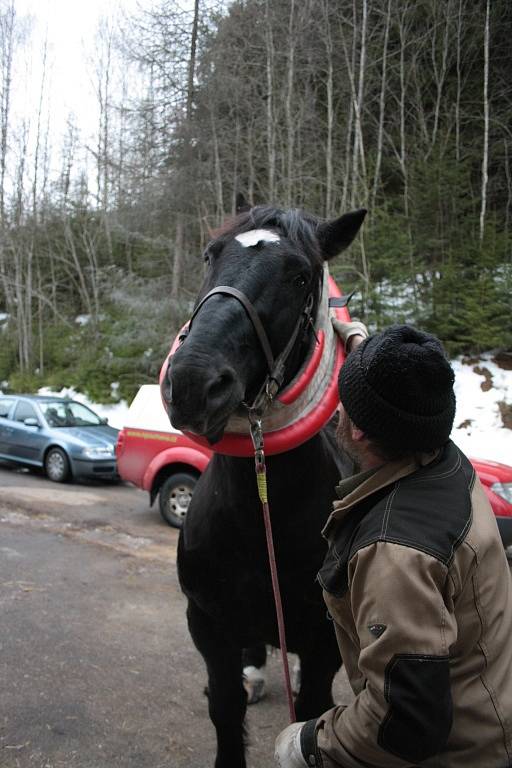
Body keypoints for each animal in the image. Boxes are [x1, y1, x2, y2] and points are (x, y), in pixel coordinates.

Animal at [162, 201, 366, 764]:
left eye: (299, 276)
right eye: (210, 256)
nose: (193, 381)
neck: (260, 515)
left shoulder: (324, 641)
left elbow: (312, 712)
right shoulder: (207, 625)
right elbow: (225, 708)